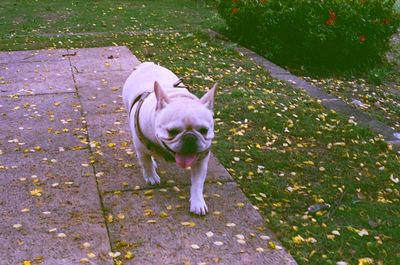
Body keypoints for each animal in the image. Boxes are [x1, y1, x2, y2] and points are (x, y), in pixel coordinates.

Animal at [122, 62, 217, 214]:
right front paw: (151, 176)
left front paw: (198, 202)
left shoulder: (201, 160)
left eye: (204, 130)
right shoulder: (141, 149)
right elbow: (146, 163)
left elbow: (198, 183)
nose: (190, 138)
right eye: (172, 131)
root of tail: (147, 64)